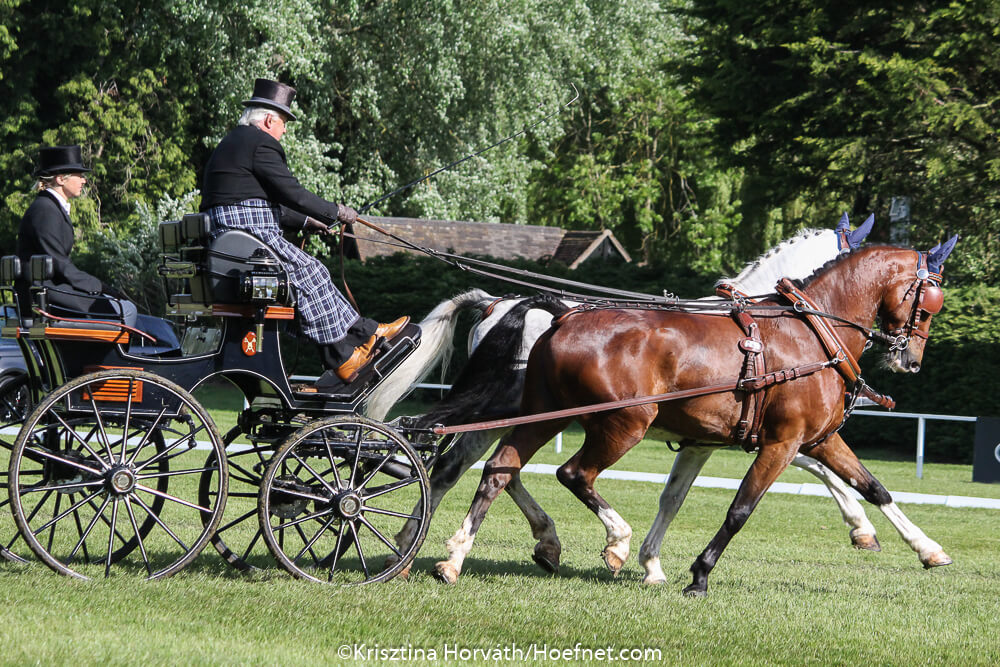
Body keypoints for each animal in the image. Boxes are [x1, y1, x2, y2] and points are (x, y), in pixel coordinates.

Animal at [385, 218, 915, 573]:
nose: (904, 358)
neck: (763, 325)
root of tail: (501, 303)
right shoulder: (767, 431)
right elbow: (818, 467)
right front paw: (862, 528)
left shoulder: (710, 436)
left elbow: (673, 497)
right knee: (475, 467)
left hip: (529, 414)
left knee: (476, 468)